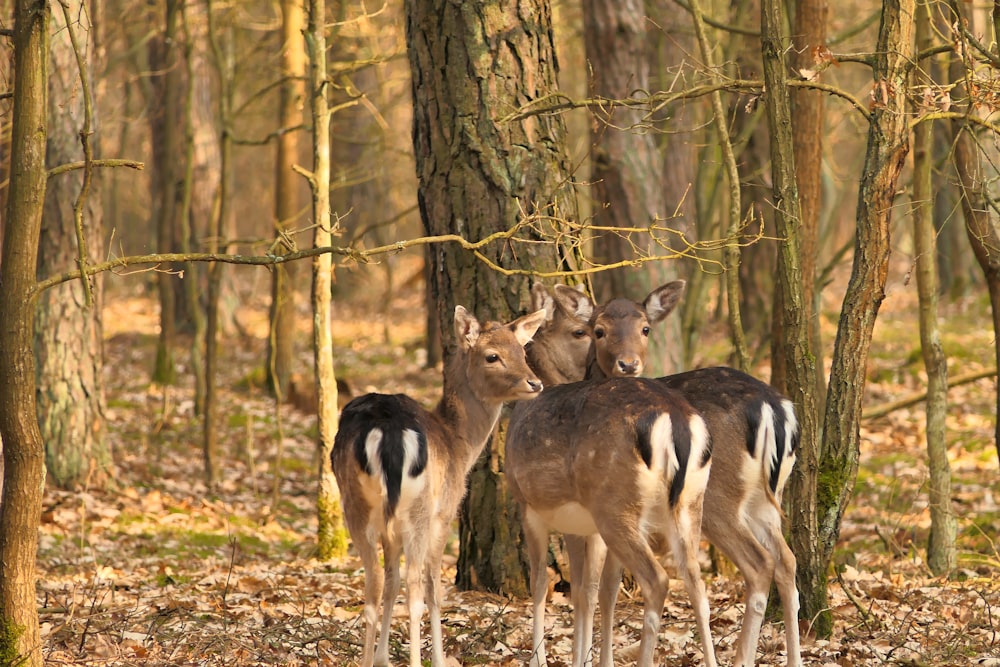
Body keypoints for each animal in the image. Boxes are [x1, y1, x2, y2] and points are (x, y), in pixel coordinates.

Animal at [332, 306, 544, 667]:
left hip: (357, 504)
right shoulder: (444, 514)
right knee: (416, 587)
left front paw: (382, 657)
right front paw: (440, 658)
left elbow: (392, 582)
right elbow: (434, 589)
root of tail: (389, 432)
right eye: (492, 356)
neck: (459, 444)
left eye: (522, 351)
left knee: (375, 582)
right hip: (419, 510)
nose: (535, 382)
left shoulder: (392, 527)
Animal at [508, 280, 720, 667]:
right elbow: (598, 590)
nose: (628, 363)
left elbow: (551, 585)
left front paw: (545, 659)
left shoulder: (534, 508)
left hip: (614, 503)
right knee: (696, 584)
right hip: (688, 503)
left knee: (657, 580)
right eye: (597, 330)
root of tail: (677, 421)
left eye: (646, 328)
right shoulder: (584, 524)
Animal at [532, 282, 804, 667]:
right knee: (786, 561)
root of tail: (774, 410)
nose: (628, 363)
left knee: (759, 564)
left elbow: (602, 588)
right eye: (599, 329)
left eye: (645, 328)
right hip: (766, 499)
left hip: (718, 499)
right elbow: (608, 587)